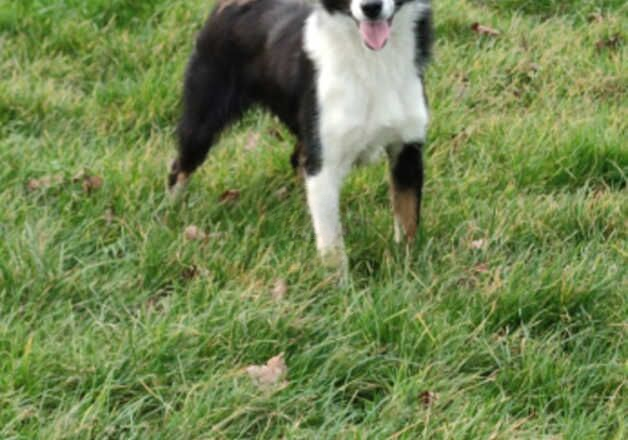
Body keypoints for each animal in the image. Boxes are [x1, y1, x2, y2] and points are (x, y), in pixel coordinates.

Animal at [169, 0, 434, 270]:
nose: (371, 7)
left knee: (296, 161)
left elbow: (408, 221)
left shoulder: (407, 149)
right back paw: (171, 212)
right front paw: (338, 282)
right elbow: (332, 248)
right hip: (202, 122)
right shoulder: (324, 163)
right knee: (179, 168)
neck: (372, 61)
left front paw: (406, 269)